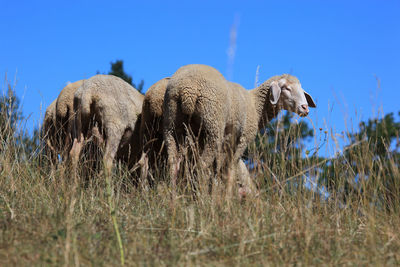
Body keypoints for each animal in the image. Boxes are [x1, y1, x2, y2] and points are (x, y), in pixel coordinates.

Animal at [162, 64, 316, 195]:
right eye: (285, 88)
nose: (305, 108)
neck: (255, 104)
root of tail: (187, 88)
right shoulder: (242, 139)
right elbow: (229, 171)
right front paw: (226, 200)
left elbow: (218, 172)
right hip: (213, 126)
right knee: (201, 166)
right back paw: (201, 198)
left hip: (173, 124)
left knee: (174, 166)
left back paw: (174, 199)